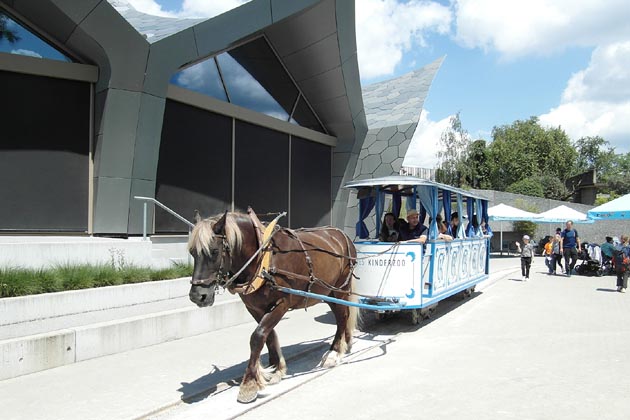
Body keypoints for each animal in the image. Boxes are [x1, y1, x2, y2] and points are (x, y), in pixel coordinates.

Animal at [186, 210, 360, 404]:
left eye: (214, 251)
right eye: (192, 252)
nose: (197, 296)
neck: (263, 258)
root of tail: (342, 235)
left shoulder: (282, 303)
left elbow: (257, 336)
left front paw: (249, 384)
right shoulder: (254, 308)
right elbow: (268, 335)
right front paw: (277, 367)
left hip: (340, 289)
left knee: (342, 316)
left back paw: (334, 351)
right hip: (327, 292)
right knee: (342, 314)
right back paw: (346, 341)